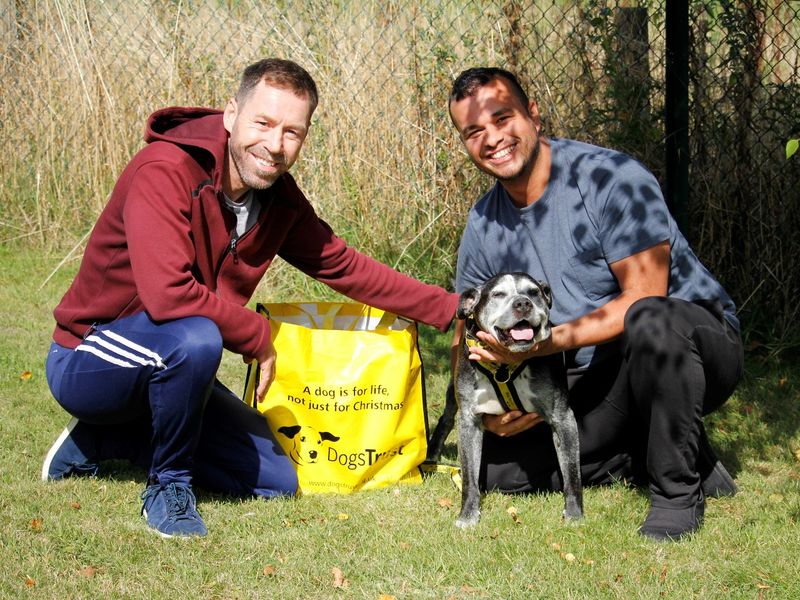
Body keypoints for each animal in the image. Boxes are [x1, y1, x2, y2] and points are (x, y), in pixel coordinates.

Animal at [450, 274, 580, 528]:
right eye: (498, 294)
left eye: (534, 292)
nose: (522, 303)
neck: (504, 367)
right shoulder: (468, 422)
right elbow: (469, 478)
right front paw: (468, 515)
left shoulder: (563, 418)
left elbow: (571, 472)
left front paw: (574, 512)